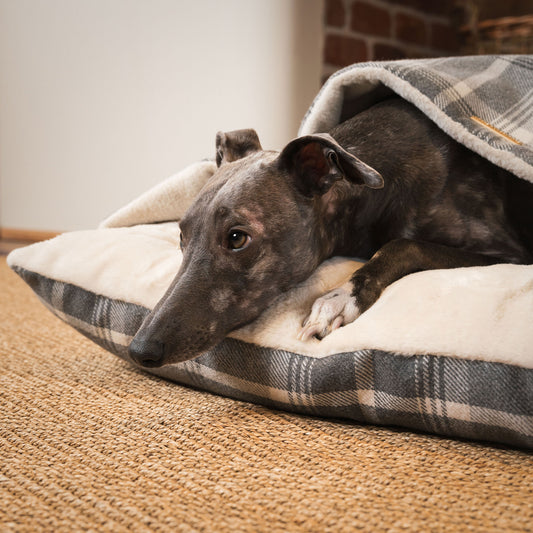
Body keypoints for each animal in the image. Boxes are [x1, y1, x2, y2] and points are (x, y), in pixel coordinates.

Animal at [129, 97, 533, 367]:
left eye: (236, 238)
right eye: (181, 236)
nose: (140, 350)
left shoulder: (510, 254)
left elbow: (404, 244)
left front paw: (338, 298)